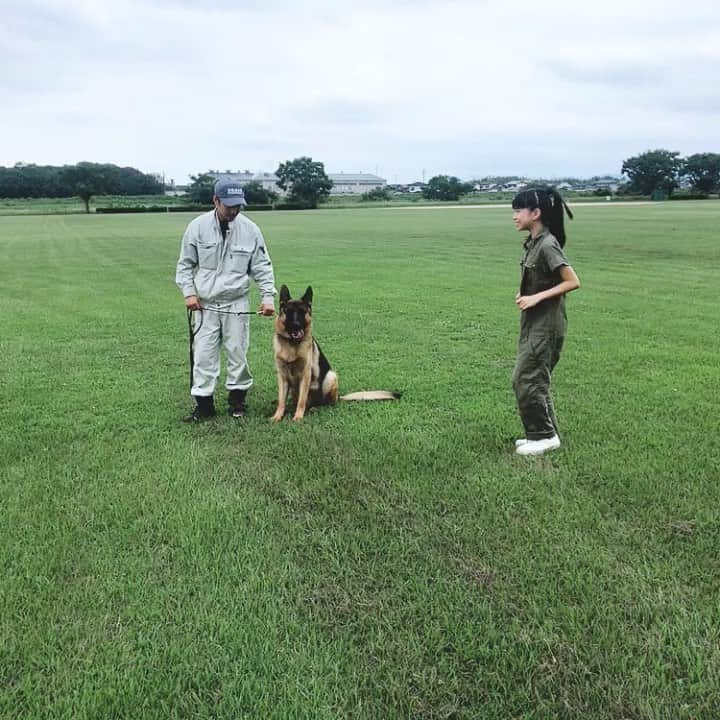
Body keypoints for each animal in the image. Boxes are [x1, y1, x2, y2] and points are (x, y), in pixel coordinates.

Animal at [272, 284, 402, 422]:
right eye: (289, 312)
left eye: (302, 312)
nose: (296, 325)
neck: (292, 345)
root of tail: (339, 397)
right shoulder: (282, 376)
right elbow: (281, 401)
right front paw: (277, 416)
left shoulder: (305, 375)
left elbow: (302, 401)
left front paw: (298, 417)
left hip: (331, 377)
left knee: (324, 403)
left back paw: (314, 408)